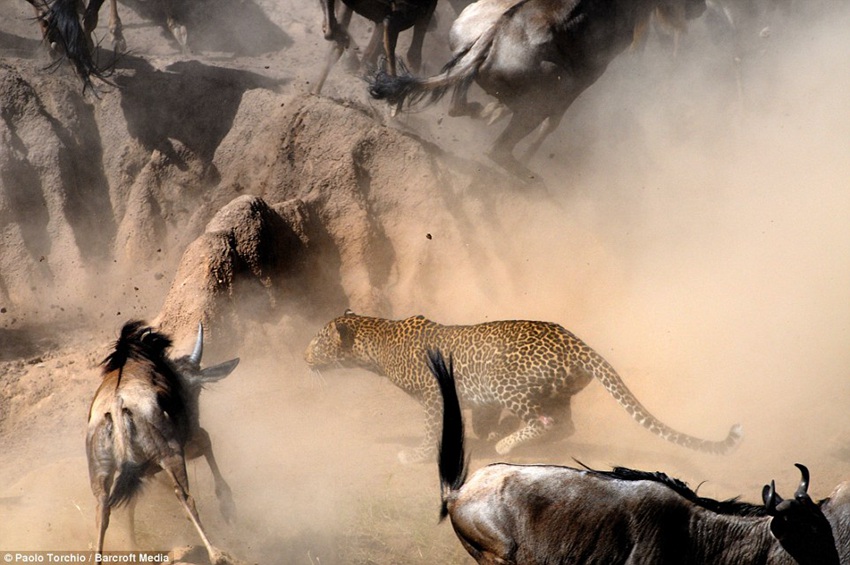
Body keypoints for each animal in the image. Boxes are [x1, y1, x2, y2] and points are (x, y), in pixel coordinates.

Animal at [304, 310, 742, 463]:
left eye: (318, 340)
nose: (304, 355)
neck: (377, 336)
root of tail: (580, 344)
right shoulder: (476, 397)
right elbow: (478, 418)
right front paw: (485, 431)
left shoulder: (432, 397)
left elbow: (430, 431)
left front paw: (416, 455)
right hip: (558, 392)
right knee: (564, 424)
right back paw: (506, 436)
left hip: (508, 382)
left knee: (544, 421)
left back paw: (506, 444)